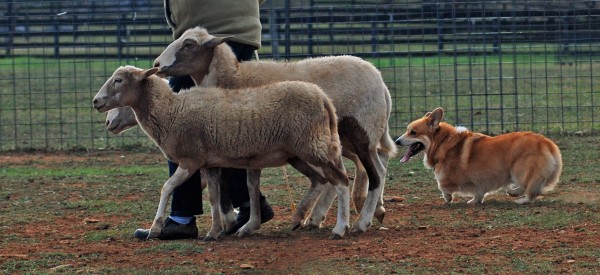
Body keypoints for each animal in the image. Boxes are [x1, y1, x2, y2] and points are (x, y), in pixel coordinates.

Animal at [91, 66, 350, 240]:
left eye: (118, 80)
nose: (95, 101)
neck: (171, 111)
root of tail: (323, 98)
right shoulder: (210, 163)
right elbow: (214, 197)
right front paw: (215, 231)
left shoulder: (190, 160)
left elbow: (167, 187)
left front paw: (155, 228)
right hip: (299, 153)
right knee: (320, 180)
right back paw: (299, 218)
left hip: (313, 147)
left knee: (341, 181)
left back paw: (339, 228)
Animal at [396, 108, 560, 205]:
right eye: (407, 130)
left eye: (413, 132)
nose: (397, 141)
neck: (441, 142)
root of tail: (548, 143)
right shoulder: (480, 181)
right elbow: (478, 192)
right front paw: (474, 201)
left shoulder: (449, 177)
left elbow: (441, 186)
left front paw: (448, 198)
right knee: (534, 186)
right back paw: (515, 192)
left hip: (520, 169)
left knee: (532, 189)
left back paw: (521, 198)